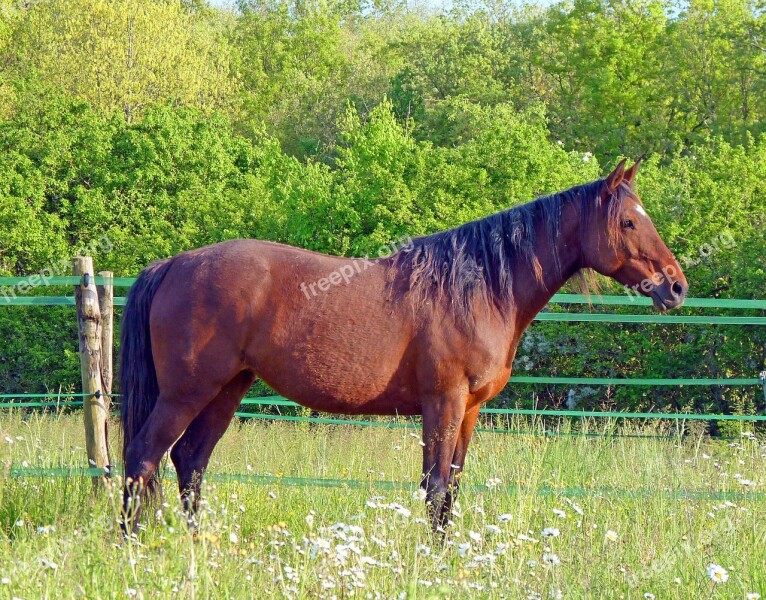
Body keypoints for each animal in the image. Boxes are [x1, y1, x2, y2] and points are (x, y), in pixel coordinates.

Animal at [121, 159, 688, 528]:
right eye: (628, 221)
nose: (677, 286)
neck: (477, 288)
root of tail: (173, 265)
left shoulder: (468, 411)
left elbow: (452, 487)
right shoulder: (442, 403)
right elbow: (434, 488)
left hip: (227, 388)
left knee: (190, 462)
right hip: (187, 391)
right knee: (143, 456)